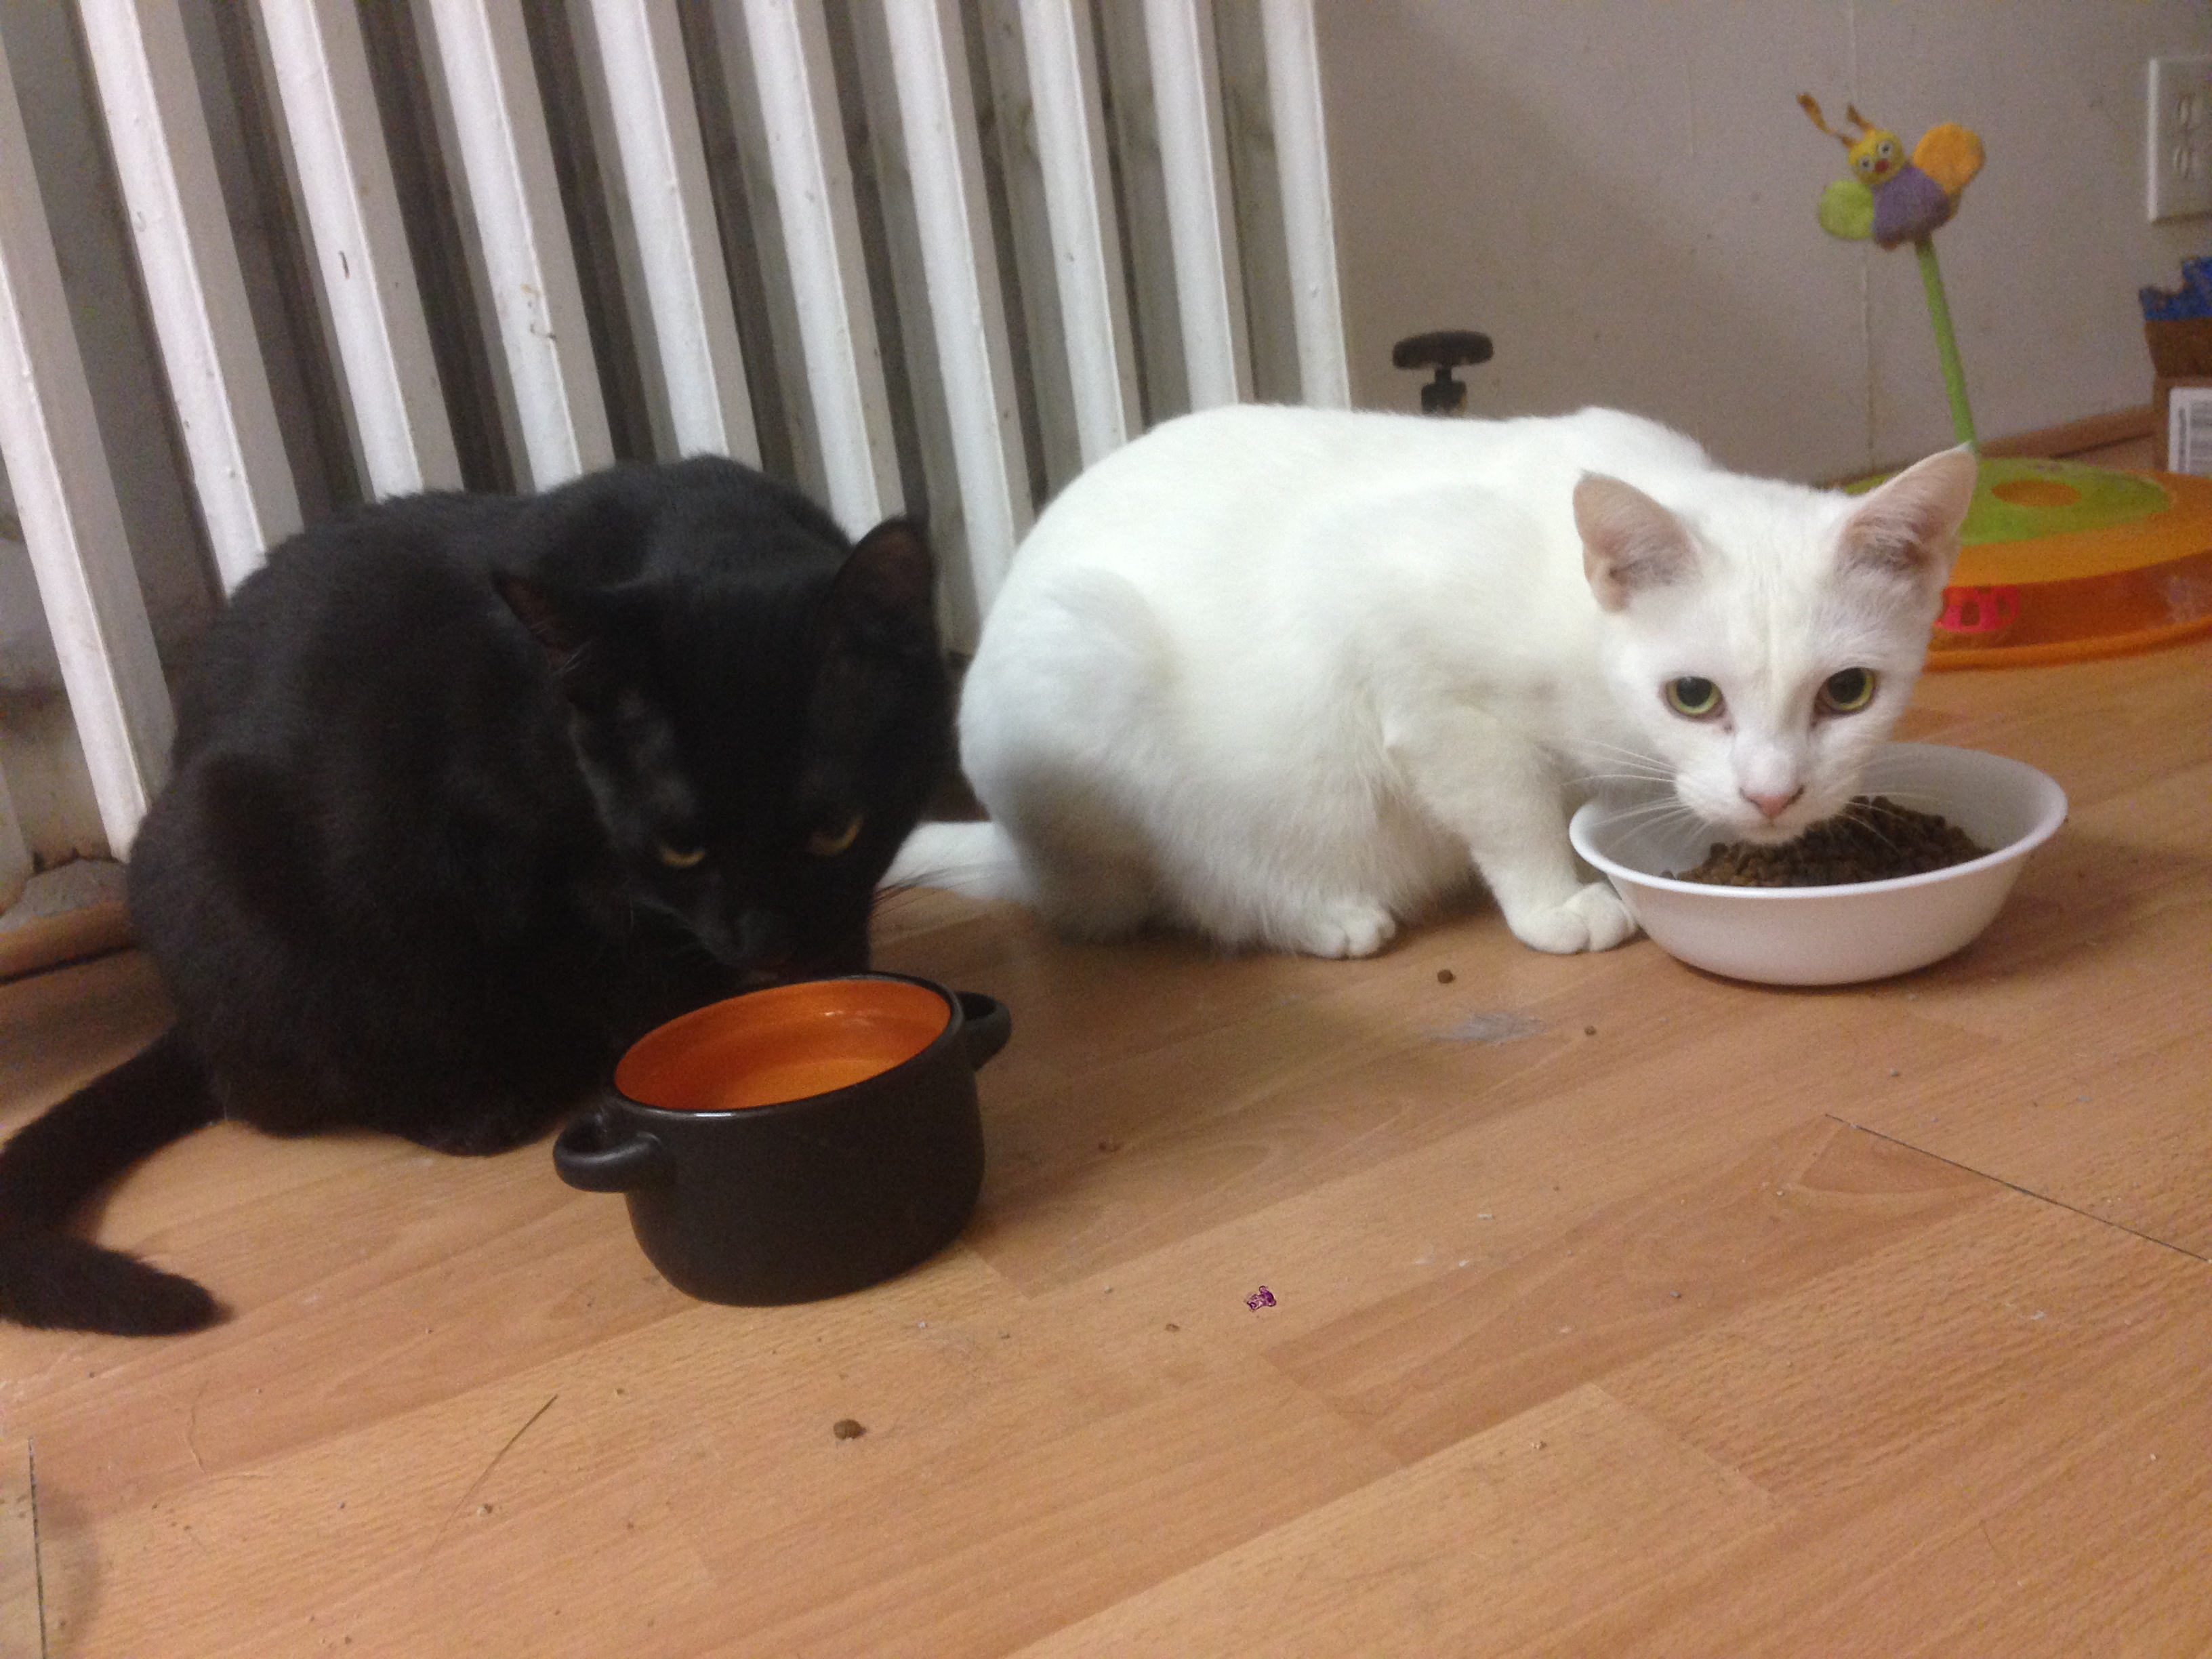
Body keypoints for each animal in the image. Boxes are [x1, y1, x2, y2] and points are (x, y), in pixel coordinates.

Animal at [0, 455, 950, 1336]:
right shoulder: (525, 873)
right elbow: (632, 988)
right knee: (278, 1086)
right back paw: (470, 1106)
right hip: (223, 864)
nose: (763, 942)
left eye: (836, 830)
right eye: (681, 847)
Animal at [889, 404, 1975, 959]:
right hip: (1085, 654)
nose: (1774, 794)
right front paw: (1554, 905)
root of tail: (1025, 859)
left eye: (1847, 693)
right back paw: (1322, 915)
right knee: (1187, 890)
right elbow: (1511, 811)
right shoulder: (1396, 638)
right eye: (1694, 696)